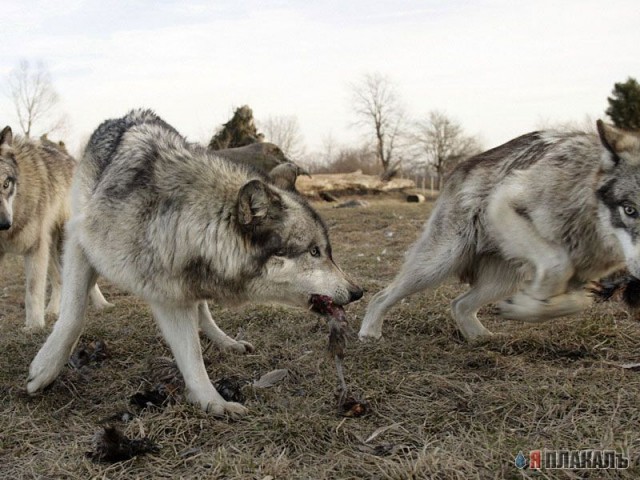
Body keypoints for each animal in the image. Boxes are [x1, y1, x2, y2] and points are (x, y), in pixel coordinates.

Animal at [0, 126, 111, 330]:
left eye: (5, 184)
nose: (4, 224)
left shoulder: (34, 249)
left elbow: (33, 292)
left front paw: (33, 327)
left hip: (61, 245)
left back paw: (102, 304)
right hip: (49, 249)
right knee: (58, 280)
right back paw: (52, 311)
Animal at [27, 109, 362, 416]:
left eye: (327, 251)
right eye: (314, 252)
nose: (358, 291)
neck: (178, 222)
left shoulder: (173, 295)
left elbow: (193, 355)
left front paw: (213, 402)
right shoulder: (79, 243)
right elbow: (73, 316)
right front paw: (44, 370)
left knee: (203, 312)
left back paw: (227, 342)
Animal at [360, 122, 640, 344]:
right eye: (630, 209)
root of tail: (461, 167)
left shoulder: (583, 276)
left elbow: (577, 301)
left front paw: (528, 307)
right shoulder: (505, 202)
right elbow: (558, 265)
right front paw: (532, 302)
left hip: (504, 280)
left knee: (459, 304)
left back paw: (481, 339)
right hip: (437, 264)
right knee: (381, 295)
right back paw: (369, 333)